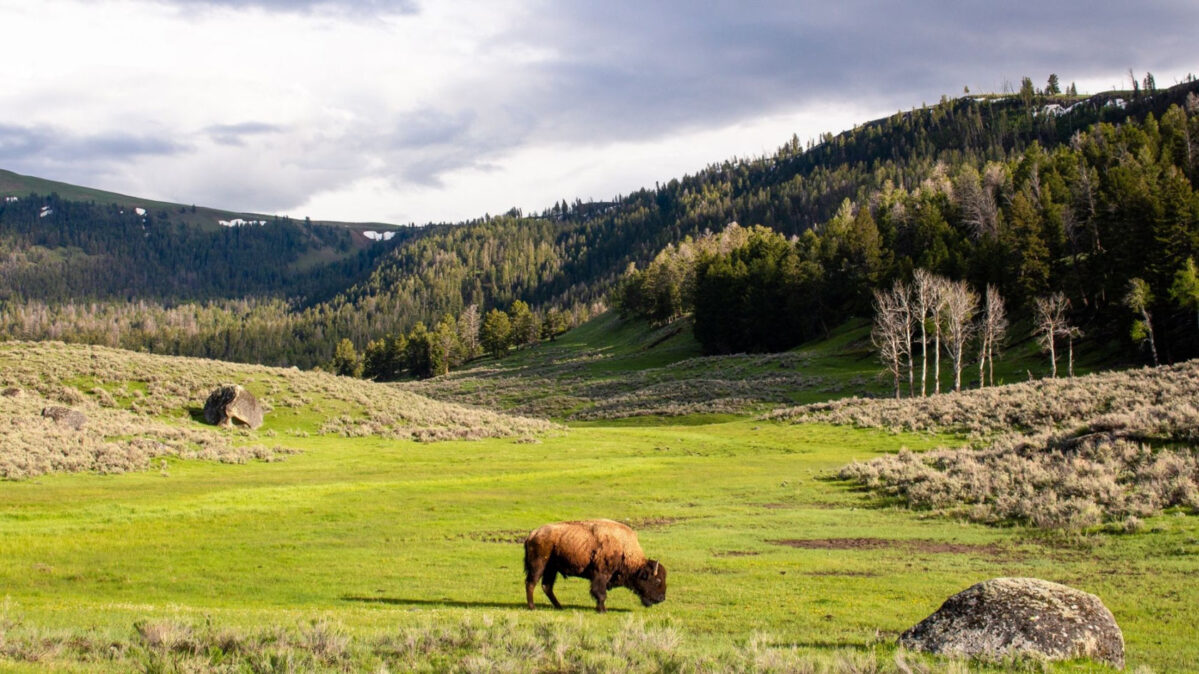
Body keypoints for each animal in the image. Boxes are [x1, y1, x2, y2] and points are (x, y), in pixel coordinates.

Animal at [520, 515, 666, 611]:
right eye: (657, 580)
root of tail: (532, 534)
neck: (624, 549)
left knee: (547, 586)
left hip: (551, 569)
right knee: (531, 583)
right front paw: (602, 610)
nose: (661, 599)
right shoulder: (600, 575)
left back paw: (559, 606)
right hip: (539, 566)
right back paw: (532, 607)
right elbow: (600, 593)